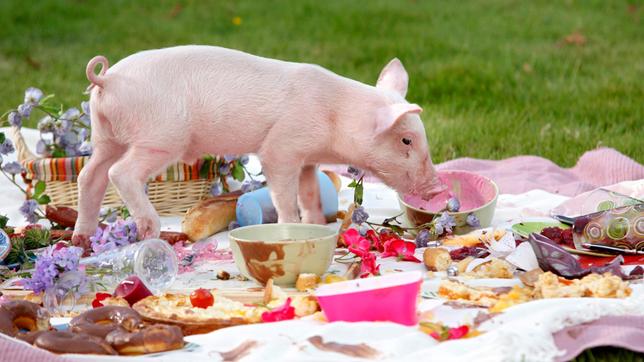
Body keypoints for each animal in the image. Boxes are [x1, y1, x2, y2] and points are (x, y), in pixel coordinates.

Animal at [70, 45, 442, 249]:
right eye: (406, 139)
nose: (438, 188)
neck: (334, 117)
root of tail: (108, 79)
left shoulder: (307, 158)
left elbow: (310, 192)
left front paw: (318, 222)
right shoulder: (281, 146)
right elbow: (284, 194)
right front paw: (292, 226)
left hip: (105, 136)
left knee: (91, 175)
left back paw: (81, 240)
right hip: (160, 136)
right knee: (121, 173)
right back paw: (150, 231)